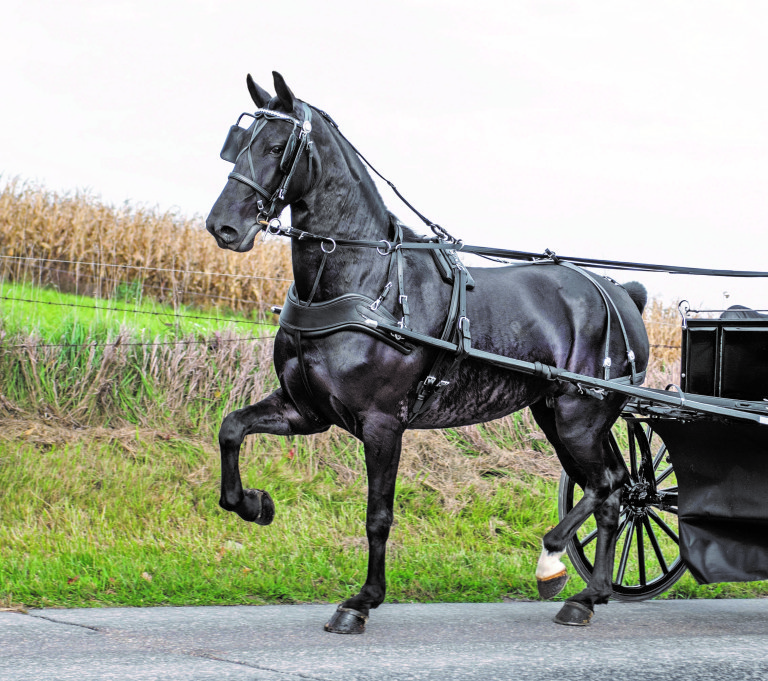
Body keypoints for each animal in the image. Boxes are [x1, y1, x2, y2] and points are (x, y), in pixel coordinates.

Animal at [207, 71, 652, 628]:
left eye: (274, 147)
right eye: (237, 143)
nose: (222, 227)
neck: (363, 282)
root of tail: (621, 292)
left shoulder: (382, 425)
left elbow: (378, 515)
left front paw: (362, 600)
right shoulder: (304, 410)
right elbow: (231, 429)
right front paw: (253, 503)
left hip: (579, 417)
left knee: (606, 484)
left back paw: (555, 564)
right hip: (559, 417)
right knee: (614, 490)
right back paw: (588, 595)